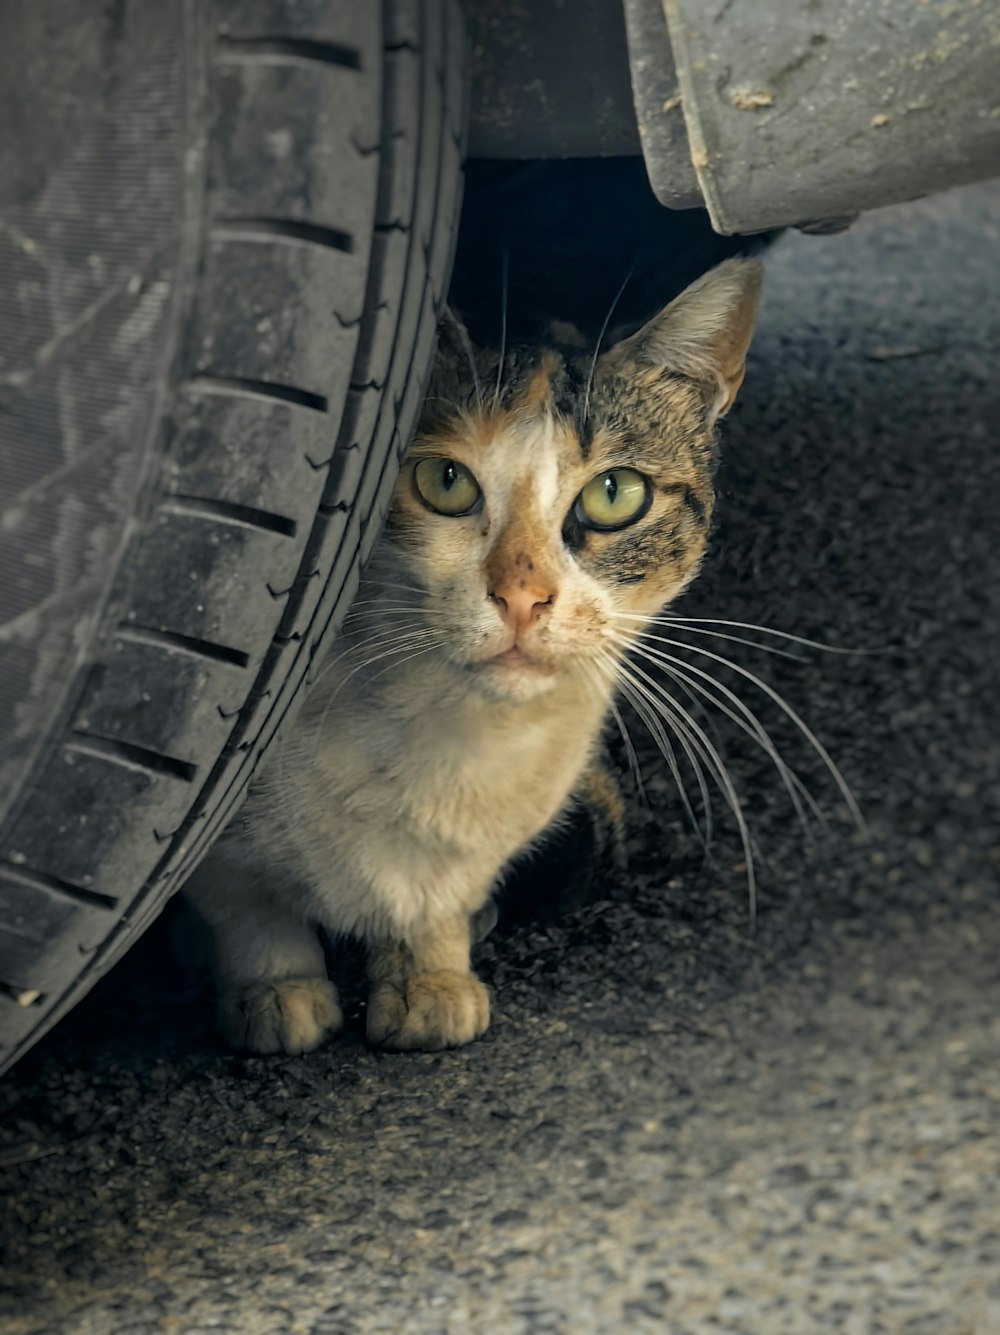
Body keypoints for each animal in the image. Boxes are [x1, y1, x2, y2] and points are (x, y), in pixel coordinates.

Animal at [182, 257, 758, 1051]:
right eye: (444, 481)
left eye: (616, 493)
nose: (522, 597)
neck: (454, 734)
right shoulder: (220, 843)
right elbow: (244, 900)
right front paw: (277, 988)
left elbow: (434, 902)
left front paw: (429, 974)